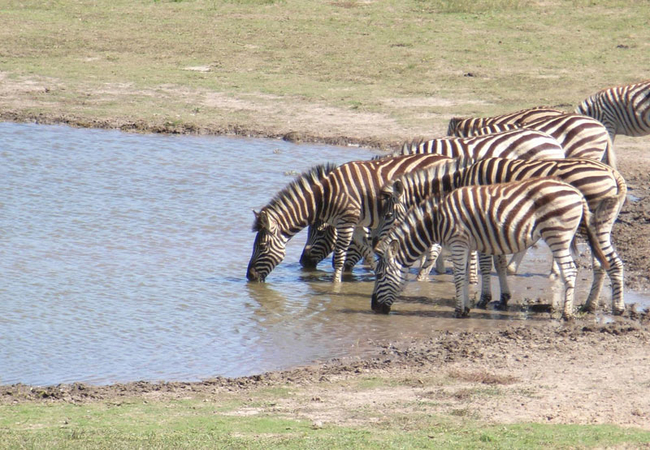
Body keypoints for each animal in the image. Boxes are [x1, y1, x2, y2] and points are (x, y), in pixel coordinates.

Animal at [243, 153, 450, 284]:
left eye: (262, 247)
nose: (249, 277)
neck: (325, 196)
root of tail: (447, 158)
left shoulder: (346, 223)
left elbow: (340, 257)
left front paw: (335, 286)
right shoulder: (357, 225)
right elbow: (367, 251)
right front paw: (378, 273)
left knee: (435, 247)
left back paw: (422, 277)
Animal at [378, 158, 624, 316]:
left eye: (389, 215)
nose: (377, 246)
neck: (462, 178)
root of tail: (612, 171)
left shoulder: (483, 223)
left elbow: (486, 263)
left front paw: (484, 297)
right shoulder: (493, 225)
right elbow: (499, 261)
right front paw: (502, 297)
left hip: (590, 223)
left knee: (607, 263)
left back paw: (609, 308)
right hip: (599, 224)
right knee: (604, 263)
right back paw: (592, 306)